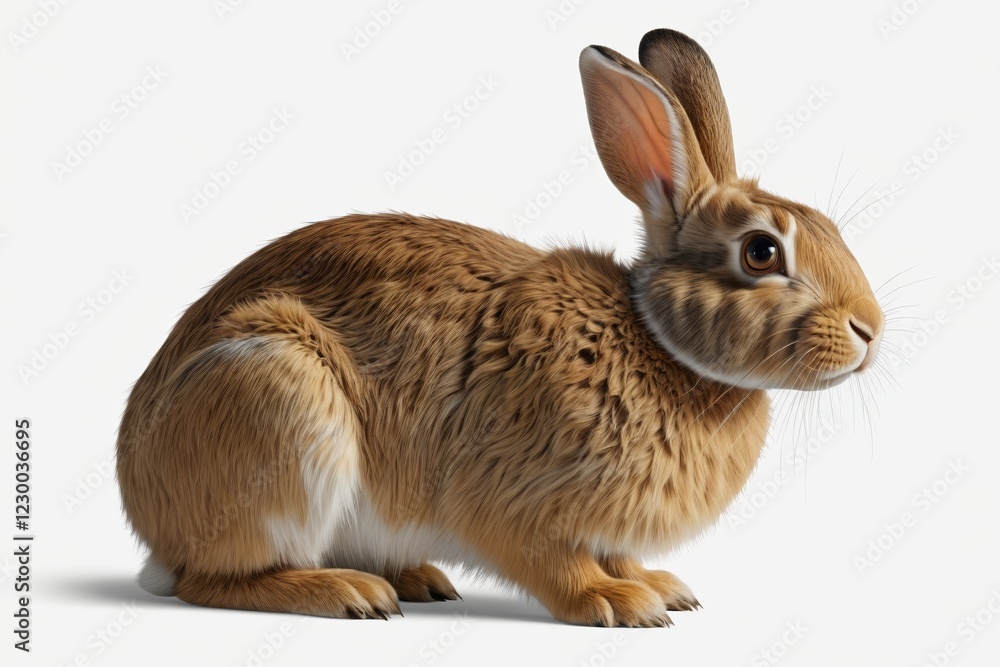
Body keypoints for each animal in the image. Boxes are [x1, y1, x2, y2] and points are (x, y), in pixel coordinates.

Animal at [116, 28, 883, 627]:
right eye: (761, 252)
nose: (871, 330)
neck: (657, 343)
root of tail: (144, 504)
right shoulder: (516, 503)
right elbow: (553, 563)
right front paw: (620, 602)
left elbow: (616, 552)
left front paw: (658, 585)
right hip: (278, 398)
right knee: (211, 580)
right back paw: (348, 592)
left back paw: (414, 579)